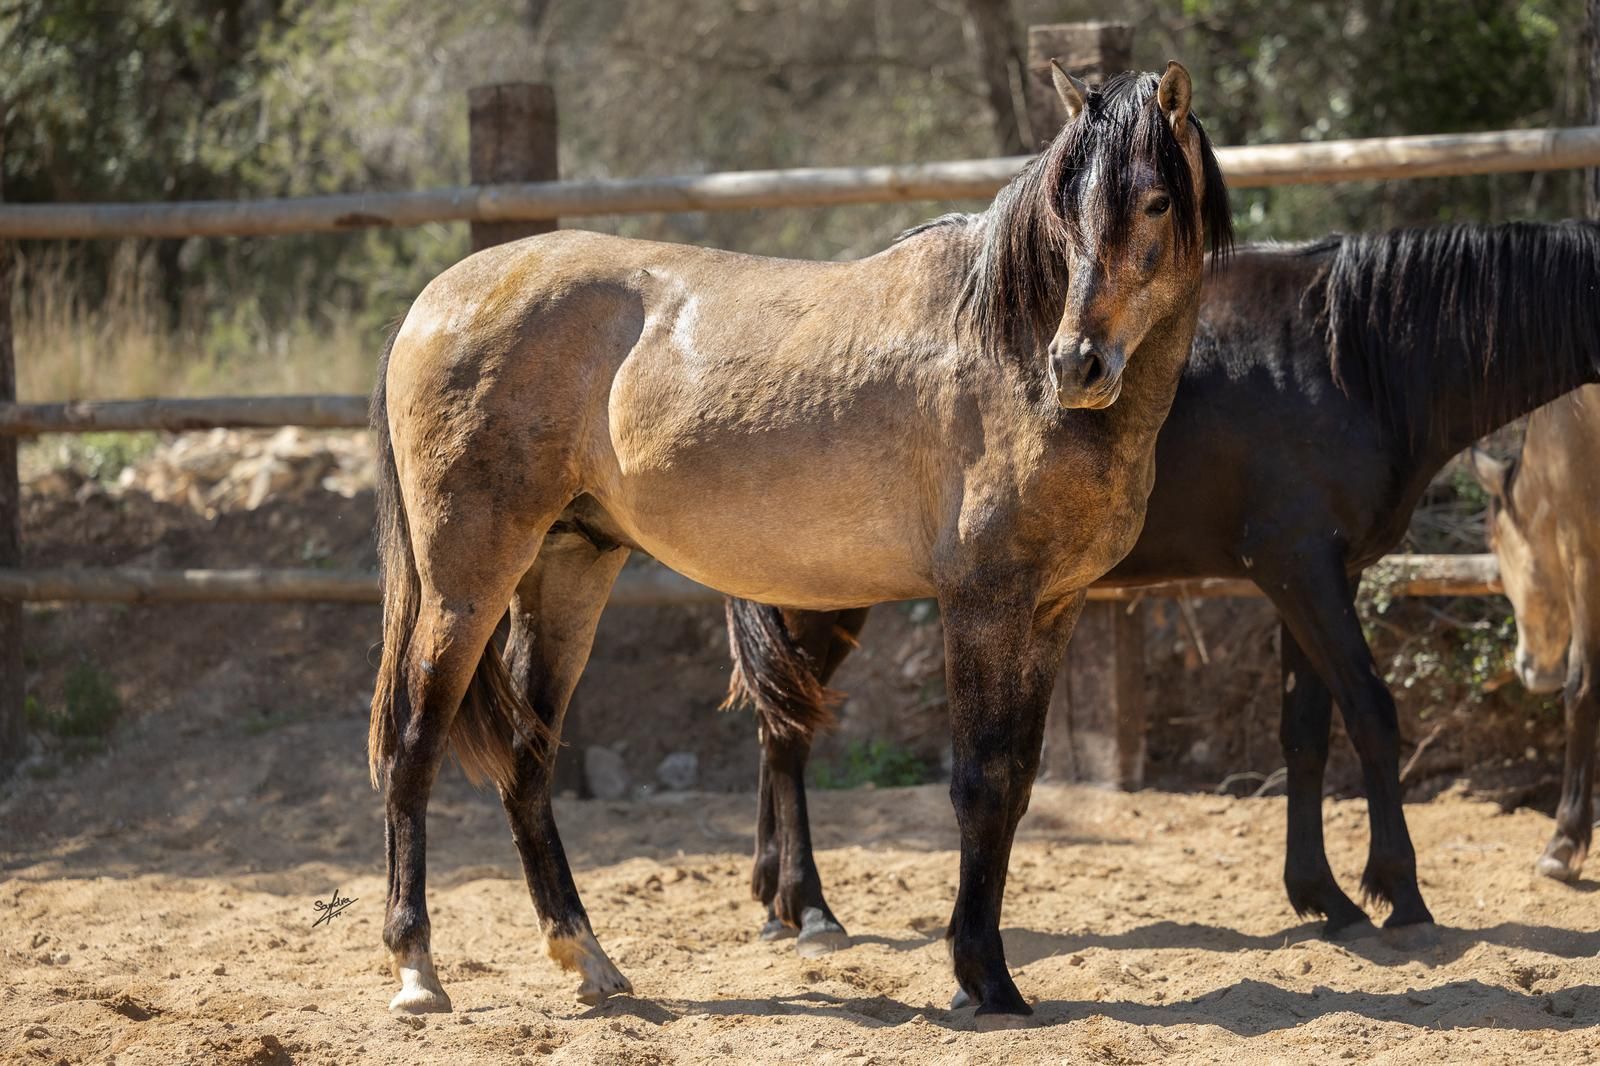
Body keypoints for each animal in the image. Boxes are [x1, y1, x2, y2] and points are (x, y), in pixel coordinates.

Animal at [367, 62, 1233, 1018]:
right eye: (1065, 207)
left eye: (1156, 201)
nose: (1077, 363)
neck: (1006, 348)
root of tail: (435, 302)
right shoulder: (981, 604)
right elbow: (978, 782)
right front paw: (981, 977)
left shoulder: (1053, 609)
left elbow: (1015, 781)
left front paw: (986, 974)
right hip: (468, 581)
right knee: (413, 740)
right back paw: (417, 970)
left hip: (571, 570)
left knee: (528, 757)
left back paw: (589, 958)